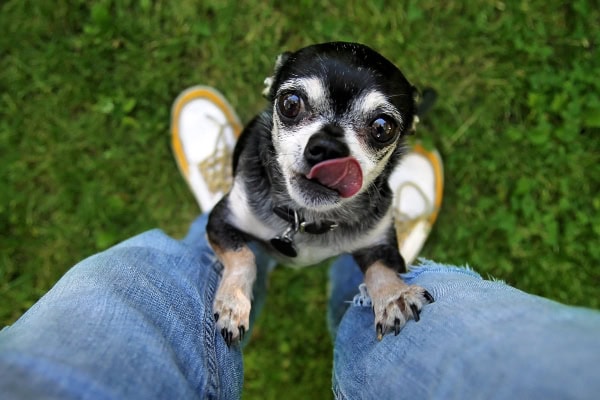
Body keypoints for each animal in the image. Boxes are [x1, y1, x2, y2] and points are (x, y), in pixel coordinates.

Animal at [206, 42, 432, 346]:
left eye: (382, 127)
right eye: (290, 104)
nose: (327, 147)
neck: (307, 218)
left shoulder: (379, 244)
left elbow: (381, 270)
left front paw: (394, 296)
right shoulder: (221, 221)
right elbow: (243, 256)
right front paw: (233, 304)